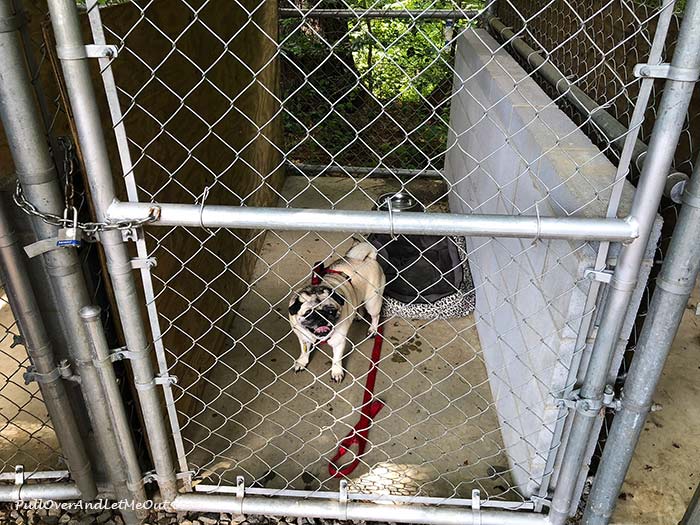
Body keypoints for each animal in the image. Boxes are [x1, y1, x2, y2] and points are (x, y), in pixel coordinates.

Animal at [290, 242, 388, 380]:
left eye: (331, 312)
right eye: (308, 314)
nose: (321, 317)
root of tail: (369, 258)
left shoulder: (338, 341)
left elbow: (336, 358)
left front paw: (336, 371)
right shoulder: (303, 337)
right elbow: (304, 351)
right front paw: (302, 361)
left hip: (372, 302)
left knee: (375, 316)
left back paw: (373, 329)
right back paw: (358, 314)